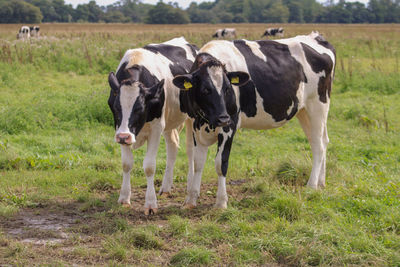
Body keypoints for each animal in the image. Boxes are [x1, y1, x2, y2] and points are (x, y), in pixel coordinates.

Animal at [108, 37, 198, 216]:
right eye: (116, 108)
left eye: (139, 108)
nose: (123, 137)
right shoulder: (119, 127)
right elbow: (126, 163)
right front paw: (124, 198)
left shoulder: (156, 128)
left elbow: (149, 166)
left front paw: (150, 204)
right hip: (169, 122)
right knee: (173, 146)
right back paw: (166, 187)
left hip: (190, 118)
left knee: (190, 150)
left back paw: (190, 187)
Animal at [173, 31, 336, 209]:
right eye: (204, 90)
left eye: (228, 89)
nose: (223, 118)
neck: (206, 120)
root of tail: (316, 37)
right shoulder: (195, 126)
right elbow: (198, 163)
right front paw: (191, 199)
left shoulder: (229, 126)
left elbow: (220, 164)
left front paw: (221, 202)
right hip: (304, 111)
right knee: (322, 141)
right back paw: (321, 183)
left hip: (318, 105)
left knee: (318, 146)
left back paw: (311, 186)